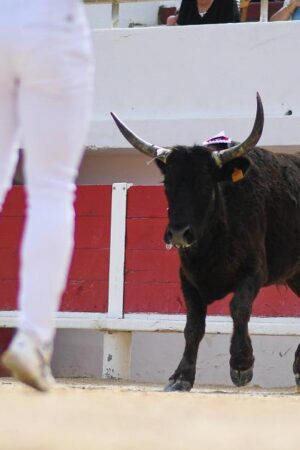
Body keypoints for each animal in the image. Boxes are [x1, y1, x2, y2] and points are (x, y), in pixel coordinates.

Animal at [112, 95, 300, 390]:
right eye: (167, 184)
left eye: (206, 185)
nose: (179, 233)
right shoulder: (187, 278)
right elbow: (193, 326)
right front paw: (181, 377)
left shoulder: (254, 271)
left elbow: (238, 308)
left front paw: (241, 365)